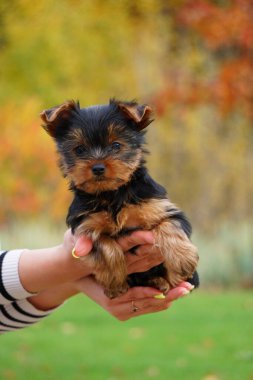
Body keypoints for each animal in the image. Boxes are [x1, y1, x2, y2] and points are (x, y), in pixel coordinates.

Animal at [41, 99, 200, 298]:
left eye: (116, 146)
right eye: (80, 149)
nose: (98, 167)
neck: (112, 193)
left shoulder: (158, 207)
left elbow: (169, 225)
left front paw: (182, 259)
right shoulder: (87, 227)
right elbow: (104, 244)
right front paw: (115, 280)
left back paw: (162, 281)